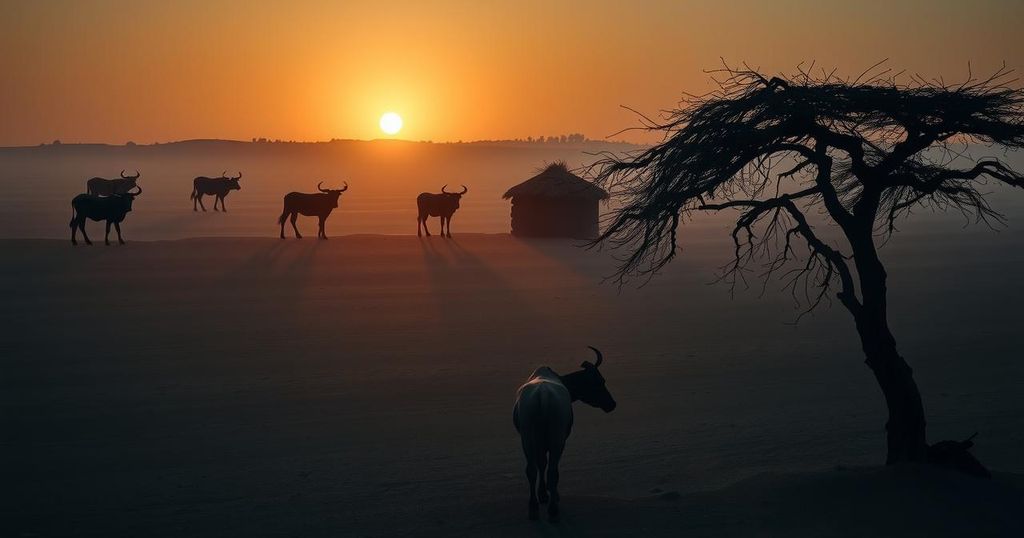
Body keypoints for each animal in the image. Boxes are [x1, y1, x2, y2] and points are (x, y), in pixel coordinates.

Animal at [512, 344, 614, 520]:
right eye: (600, 381)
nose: (612, 404)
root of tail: (543, 396)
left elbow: (541, 463)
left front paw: (543, 494)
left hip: (527, 438)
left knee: (531, 469)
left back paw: (533, 509)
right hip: (558, 438)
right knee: (553, 471)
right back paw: (553, 509)